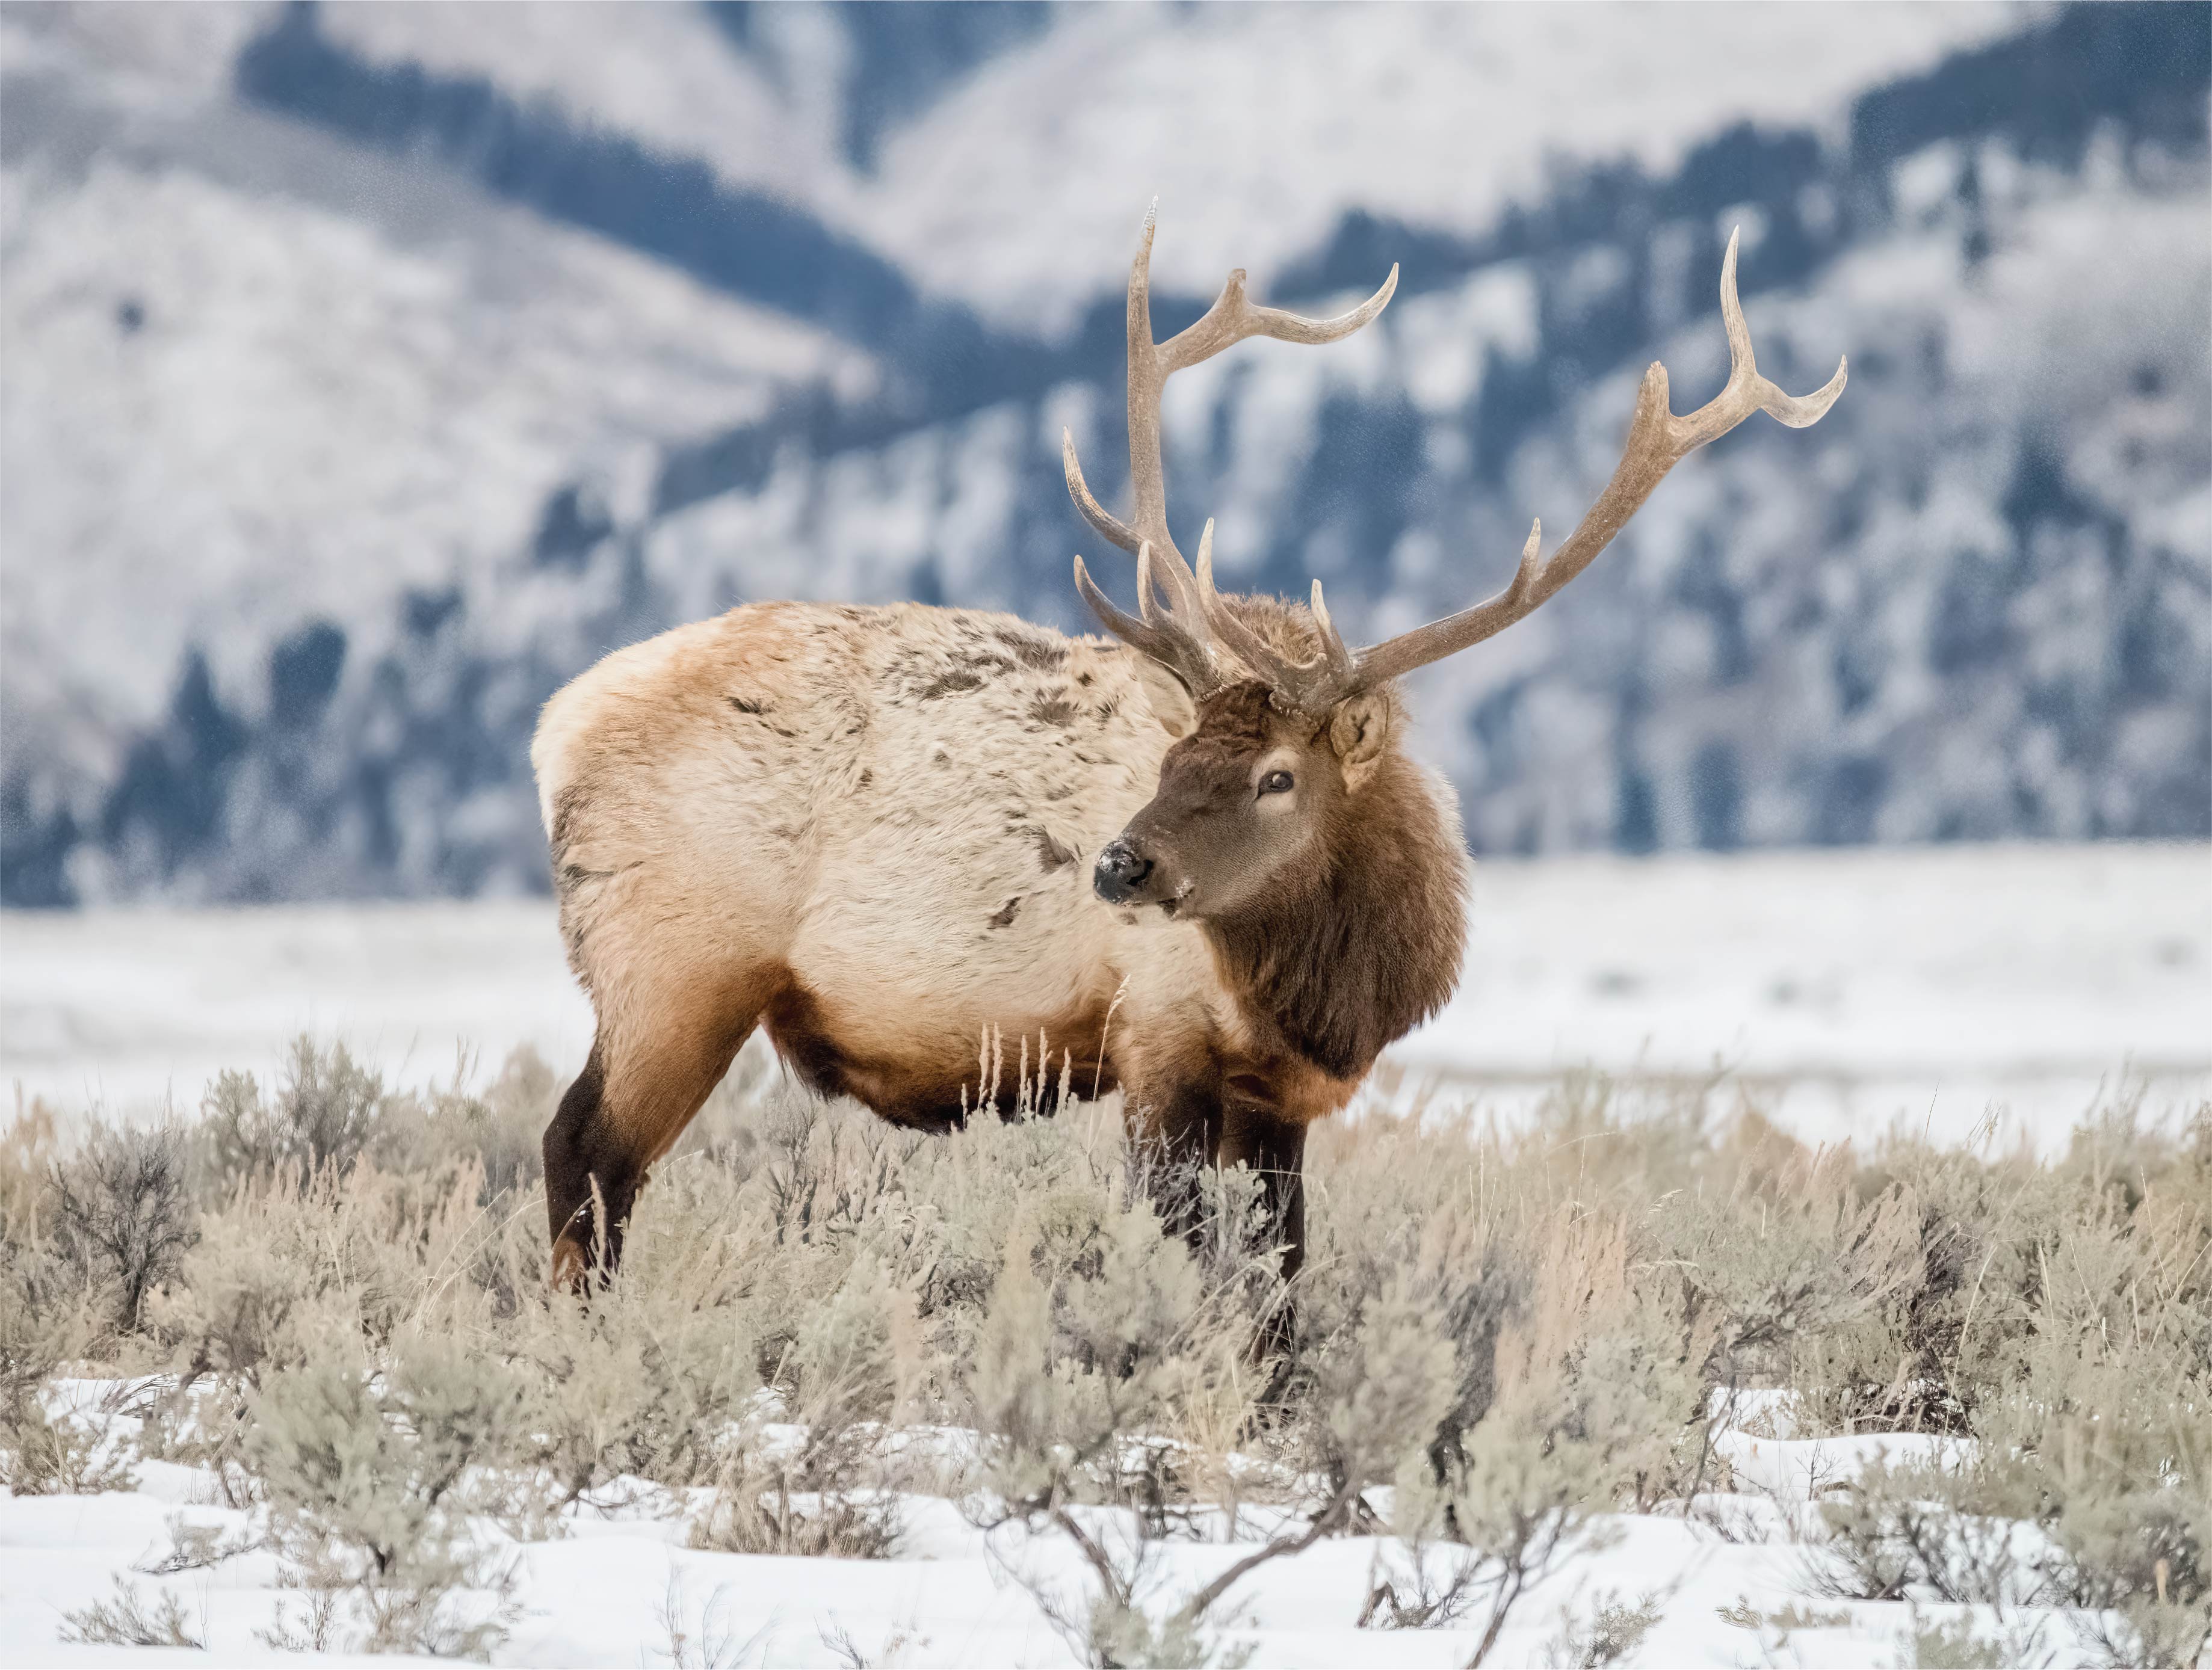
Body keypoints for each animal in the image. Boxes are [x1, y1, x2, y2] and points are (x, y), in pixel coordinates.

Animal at [532, 208, 1845, 1296]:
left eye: (1276, 776)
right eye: (1173, 765)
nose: (1119, 866)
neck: (1332, 991)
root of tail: (555, 730)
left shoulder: (1283, 1099)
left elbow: (1280, 1284)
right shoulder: (1155, 1040)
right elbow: (1183, 1251)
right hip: (676, 963)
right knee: (584, 1152)